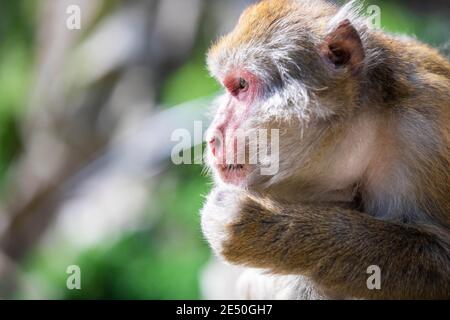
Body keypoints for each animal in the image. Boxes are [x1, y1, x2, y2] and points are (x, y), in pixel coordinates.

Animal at [200, 0, 450, 300]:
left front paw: (251, 223)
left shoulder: (424, 133)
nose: (212, 137)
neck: (368, 125)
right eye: (230, 87)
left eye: (241, 85)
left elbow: (441, 259)